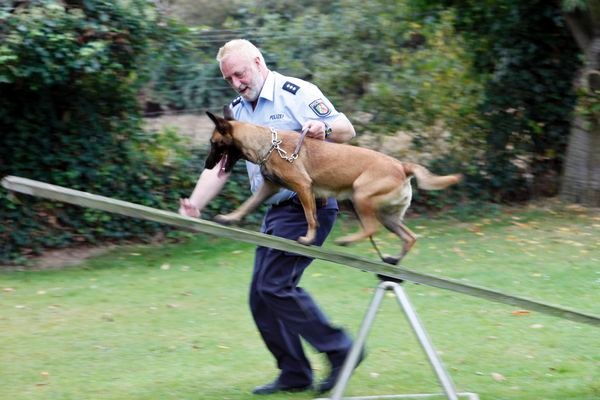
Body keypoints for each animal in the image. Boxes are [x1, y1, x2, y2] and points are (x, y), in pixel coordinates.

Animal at [204, 110, 462, 266]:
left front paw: (308, 239)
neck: (269, 143)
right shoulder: (269, 188)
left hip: (361, 195)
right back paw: (394, 260)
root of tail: (402, 166)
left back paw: (346, 240)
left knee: (372, 228)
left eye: (214, 143)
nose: (206, 165)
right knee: (409, 237)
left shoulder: (303, 187)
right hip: (387, 215)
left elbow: (311, 218)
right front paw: (229, 218)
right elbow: (246, 206)